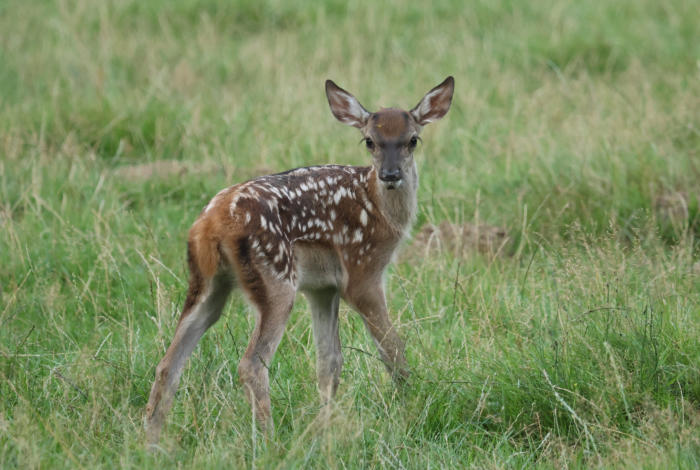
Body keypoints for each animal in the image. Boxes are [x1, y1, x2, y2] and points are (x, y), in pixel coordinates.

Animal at [144, 76, 454, 446]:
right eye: (369, 141)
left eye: (412, 140)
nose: (390, 174)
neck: (381, 212)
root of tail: (211, 223)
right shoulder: (362, 270)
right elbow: (392, 348)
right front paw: (410, 405)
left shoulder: (321, 288)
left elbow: (330, 362)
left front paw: (326, 427)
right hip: (276, 279)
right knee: (251, 364)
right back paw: (268, 440)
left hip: (207, 282)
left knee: (169, 362)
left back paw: (151, 442)